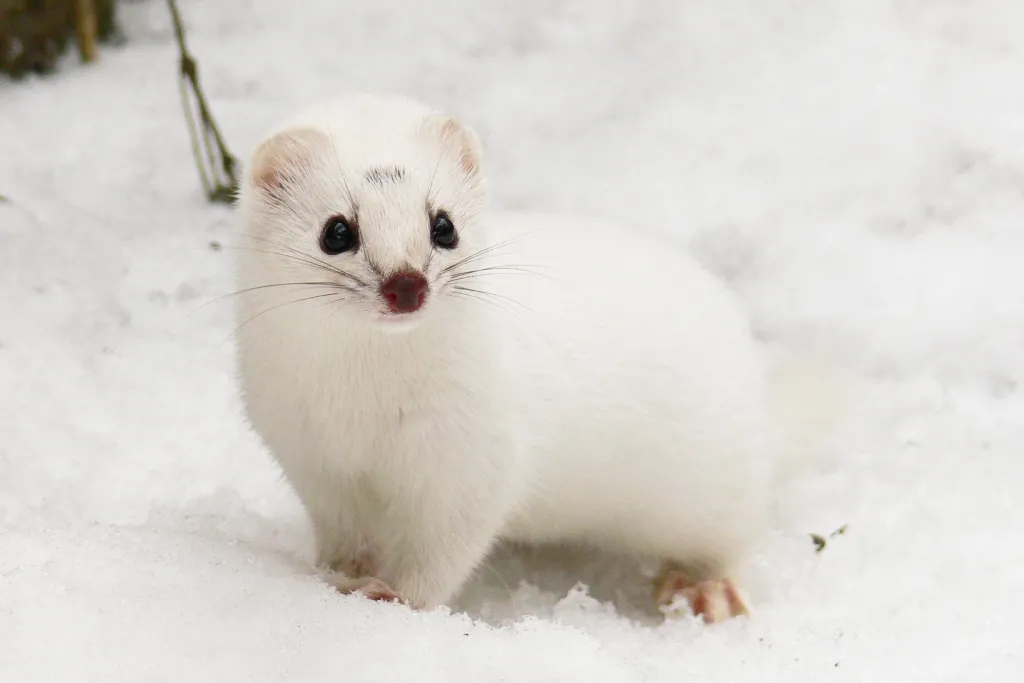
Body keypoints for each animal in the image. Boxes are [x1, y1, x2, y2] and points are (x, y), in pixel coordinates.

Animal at [237, 93, 823, 622]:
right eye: (337, 230)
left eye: (443, 224)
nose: (407, 285)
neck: (364, 409)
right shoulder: (312, 459)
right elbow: (343, 536)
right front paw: (339, 579)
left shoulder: (476, 455)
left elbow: (443, 551)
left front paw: (394, 595)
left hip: (717, 482)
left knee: (732, 537)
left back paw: (704, 590)